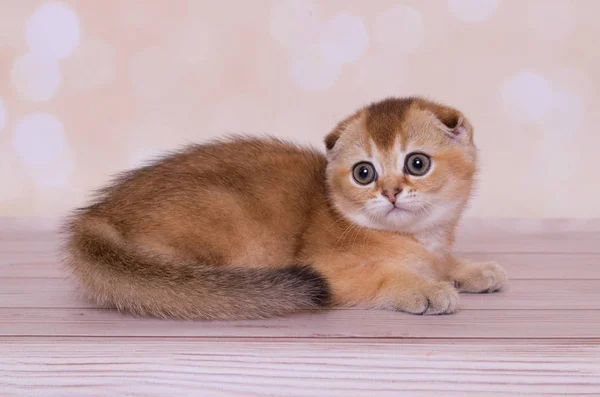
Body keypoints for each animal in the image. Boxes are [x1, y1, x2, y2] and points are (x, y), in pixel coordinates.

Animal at [63, 97, 506, 320]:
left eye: (417, 163)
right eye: (364, 173)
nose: (391, 192)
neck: (419, 238)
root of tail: (97, 216)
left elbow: (441, 262)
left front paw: (472, 270)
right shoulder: (330, 269)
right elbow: (386, 276)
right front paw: (427, 289)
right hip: (225, 211)